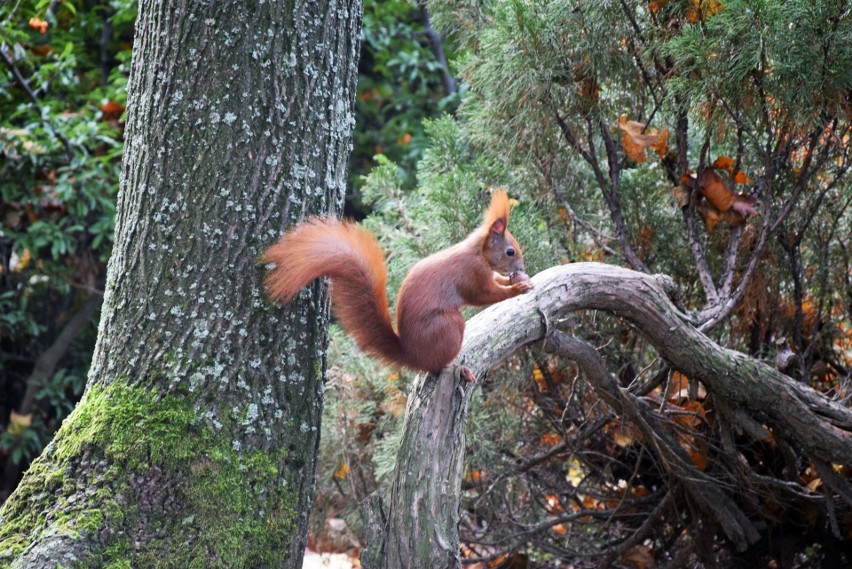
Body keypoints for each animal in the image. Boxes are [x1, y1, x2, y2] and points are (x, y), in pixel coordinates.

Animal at [264, 190, 532, 378]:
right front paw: (516, 288)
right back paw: (457, 368)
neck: (479, 252)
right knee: (435, 368)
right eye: (510, 251)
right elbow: (485, 295)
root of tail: (412, 356)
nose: (521, 268)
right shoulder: (472, 274)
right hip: (448, 326)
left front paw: (521, 280)